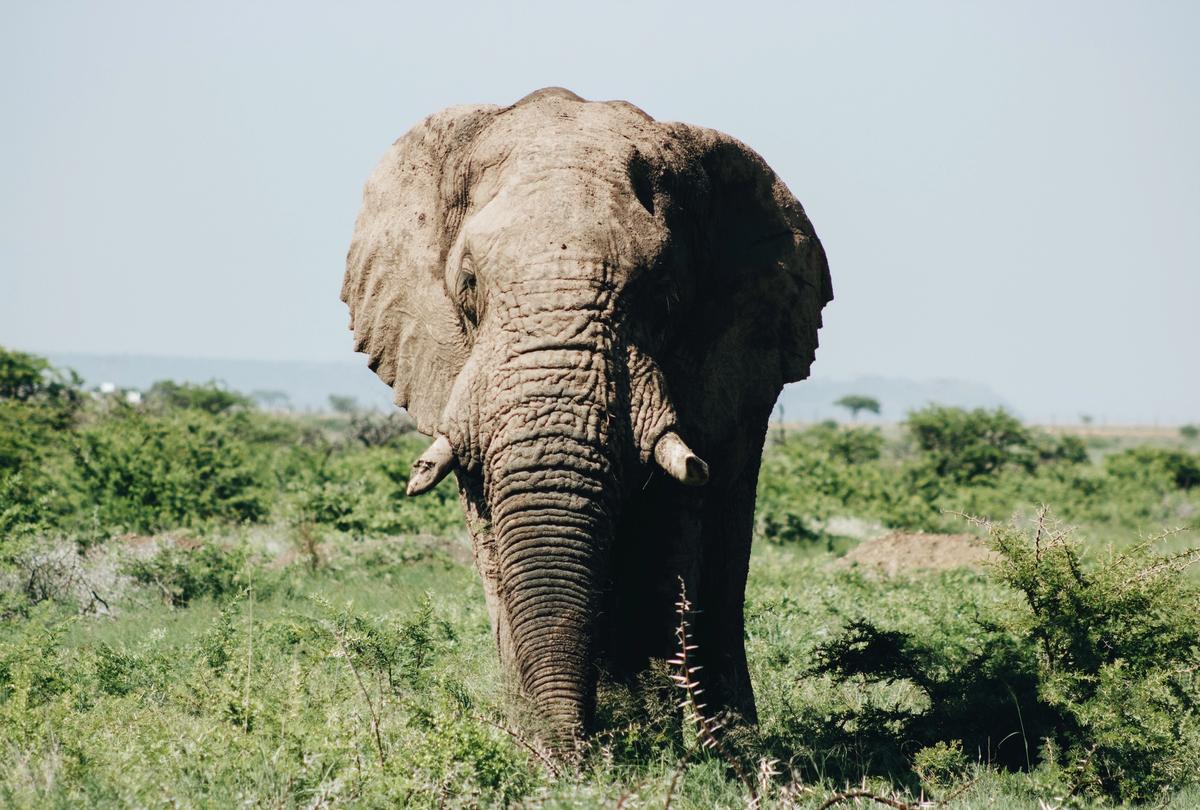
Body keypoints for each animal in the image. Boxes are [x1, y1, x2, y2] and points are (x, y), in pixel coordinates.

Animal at [338, 87, 825, 748]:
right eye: (468, 283)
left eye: (664, 292)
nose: (579, 753)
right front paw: (535, 744)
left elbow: (674, 519)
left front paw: (672, 747)